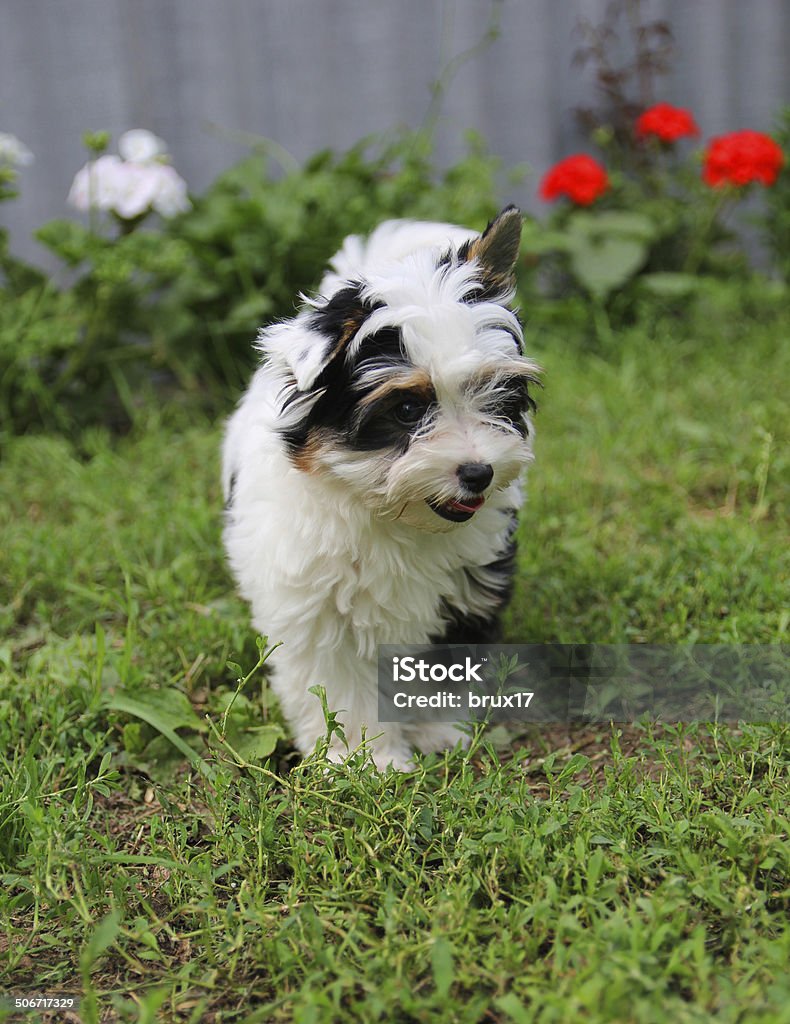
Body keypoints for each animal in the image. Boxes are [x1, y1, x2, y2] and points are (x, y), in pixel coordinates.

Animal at [225, 207, 541, 770]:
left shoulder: (466, 587)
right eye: (407, 409)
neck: (389, 512)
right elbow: (339, 688)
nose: (478, 473)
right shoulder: (316, 608)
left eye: (495, 393)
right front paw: (366, 759)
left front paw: (438, 733)